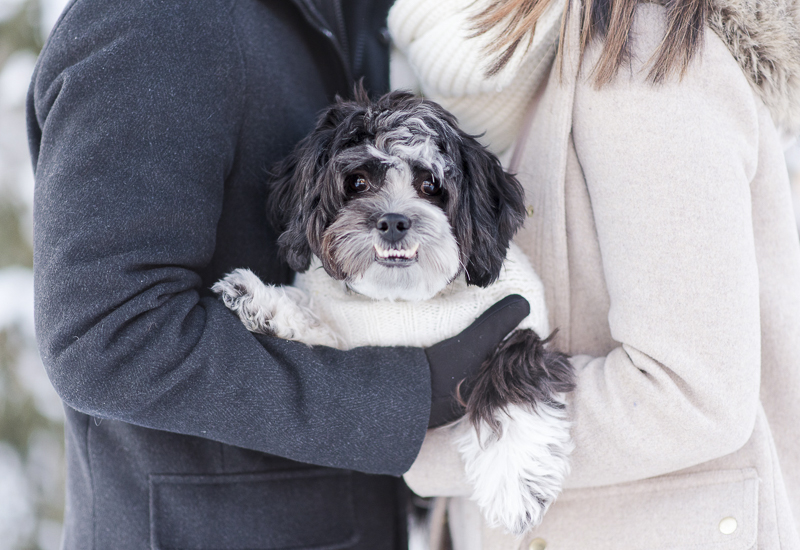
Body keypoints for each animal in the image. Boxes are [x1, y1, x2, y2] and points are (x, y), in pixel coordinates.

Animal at [212, 88, 575, 535]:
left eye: (431, 184)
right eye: (357, 182)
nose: (393, 221)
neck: (405, 301)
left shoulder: (518, 315)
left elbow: (517, 362)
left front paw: (516, 480)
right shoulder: (352, 331)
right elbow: (320, 323)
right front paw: (259, 301)